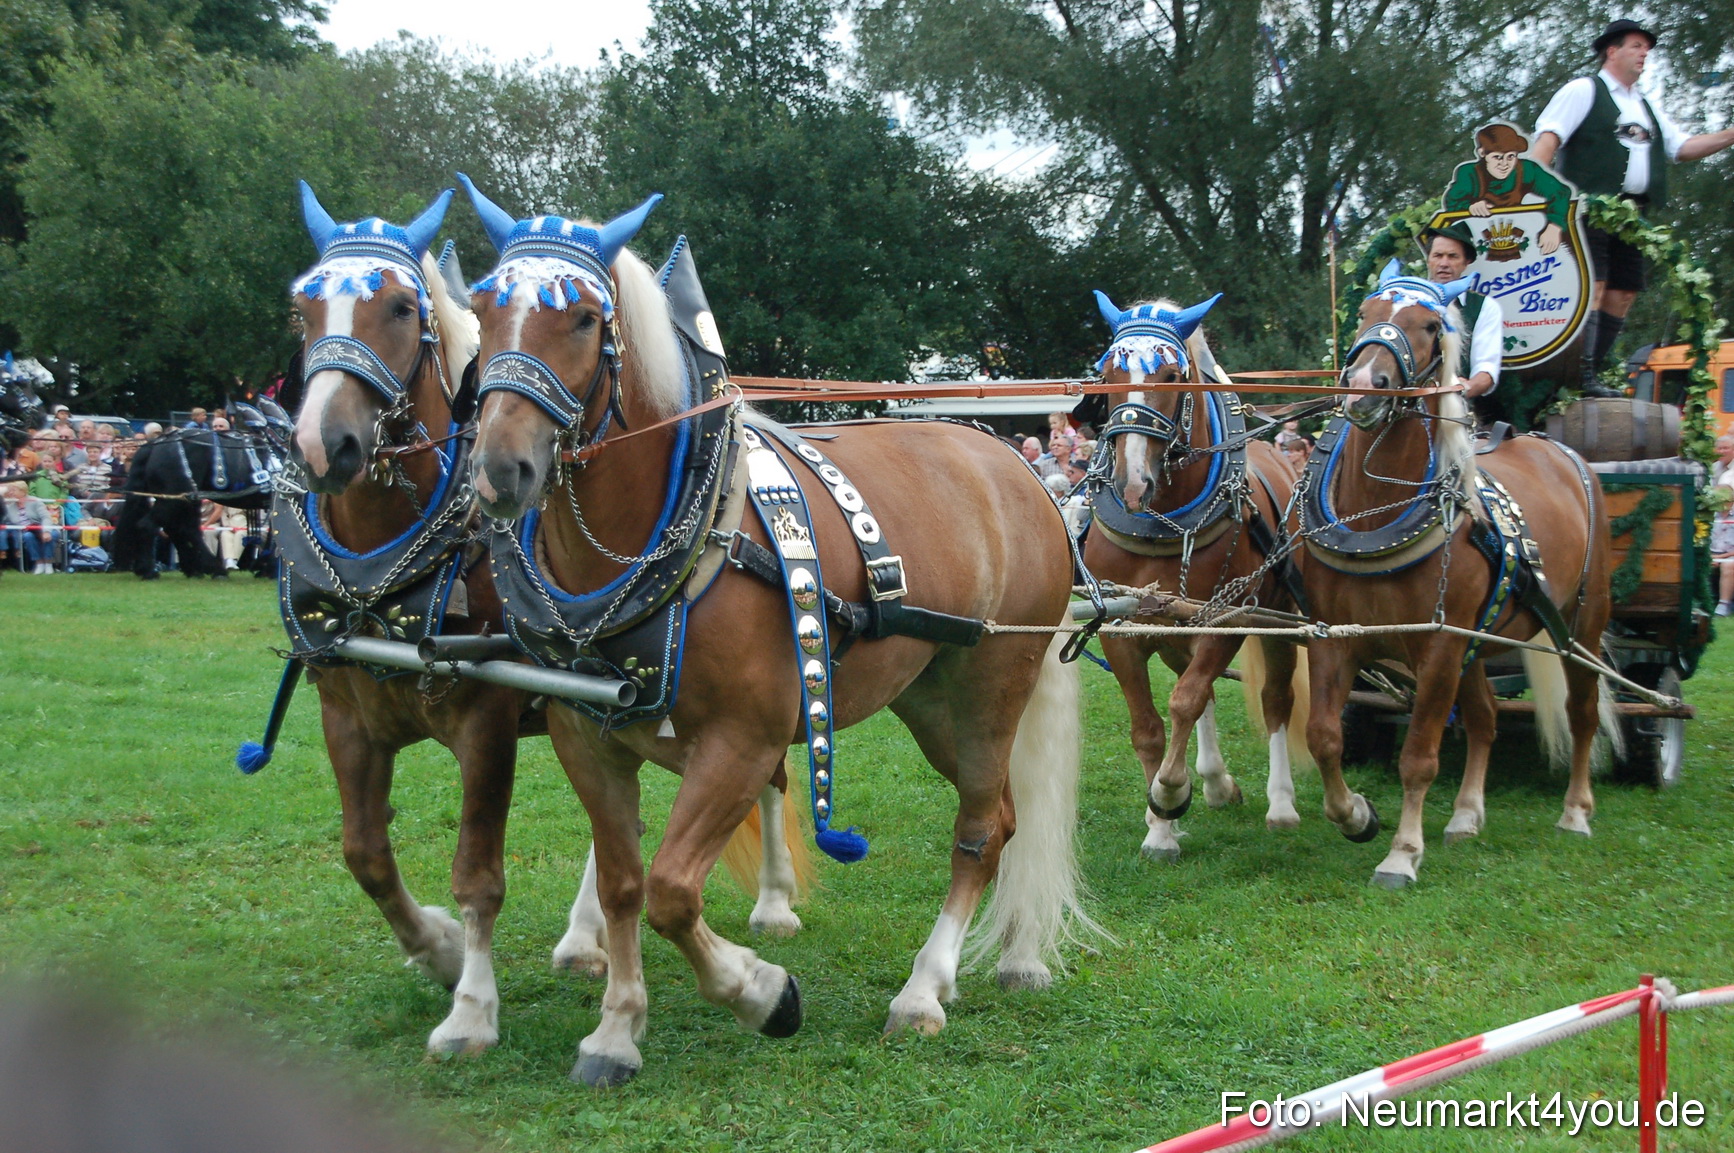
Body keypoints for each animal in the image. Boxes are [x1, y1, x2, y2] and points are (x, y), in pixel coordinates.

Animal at [457, 176, 1098, 1087]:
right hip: (928, 697)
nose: (500, 470)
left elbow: (672, 889)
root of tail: (1019, 470)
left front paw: (761, 991)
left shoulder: (744, 739)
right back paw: (1014, 954)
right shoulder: (588, 737)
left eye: (582, 318)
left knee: (979, 831)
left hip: (991, 687)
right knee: (1007, 817)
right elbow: (623, 885)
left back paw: (924, 988)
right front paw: (616, 1029)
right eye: (482, 307)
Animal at [1081, 292, 1311, 862]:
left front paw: (1169, 792)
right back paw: (1213, 780)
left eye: (1171, 375)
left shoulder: (1224, 621)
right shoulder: (1123, 628)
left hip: (1276, 617)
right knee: (1200, 690)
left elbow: (1184, 700)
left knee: (1274, 700)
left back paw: (1280, 804)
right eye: (1106, 374)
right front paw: (1160, 827)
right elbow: (1148, 726)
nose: (1131, 484)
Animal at [1303, 260, 1614, 887]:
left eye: (1428, 325)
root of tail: (1564, 455)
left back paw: (1575, 812)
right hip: (1475, 638)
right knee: (1487, 717)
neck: (1377, 513)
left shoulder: (1437, 648)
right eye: (1366, 312)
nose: (1365, 385)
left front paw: (1401, 853)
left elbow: (1419, 756)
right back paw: (1467, 815)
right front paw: (1356, 815)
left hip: (1580, 625)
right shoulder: (1335, 639)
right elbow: (1323, 736)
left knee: (1582, 712)